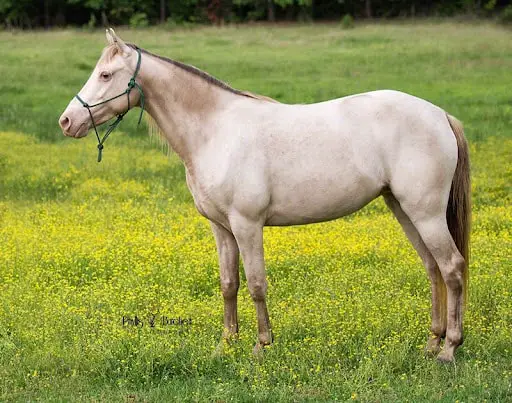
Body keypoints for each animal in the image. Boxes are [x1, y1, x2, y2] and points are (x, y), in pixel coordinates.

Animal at [58, 28, 470, 362]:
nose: (66, 121)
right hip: (403, 209)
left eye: (106, 75)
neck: (215, 131)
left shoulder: (247, 224)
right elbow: (229, 284)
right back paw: (431, 343)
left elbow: (257, 284)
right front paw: (226, 344)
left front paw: (261, 345)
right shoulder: (222, 229)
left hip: (426, 213)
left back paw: (449, 349)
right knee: (432, 267)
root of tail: (440, 115)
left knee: (452, 267)